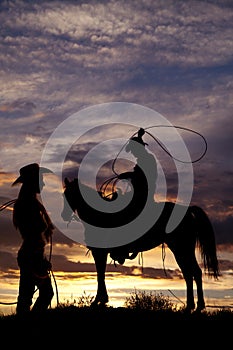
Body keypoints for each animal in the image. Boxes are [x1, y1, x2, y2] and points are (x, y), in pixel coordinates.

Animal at [61, 178, 218, 312]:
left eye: (70, 195)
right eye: (64, 194)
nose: (63, 215)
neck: (98, 215)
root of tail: (188, 210)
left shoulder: (99, 252)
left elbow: (100, 274)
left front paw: (98, 300)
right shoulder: (100, 252)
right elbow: (101, 273)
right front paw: (102, 300)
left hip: (182, 249)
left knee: (194, 273)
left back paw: (198, 306)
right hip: (182, 250)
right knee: (189, 274)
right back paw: (191, 306)